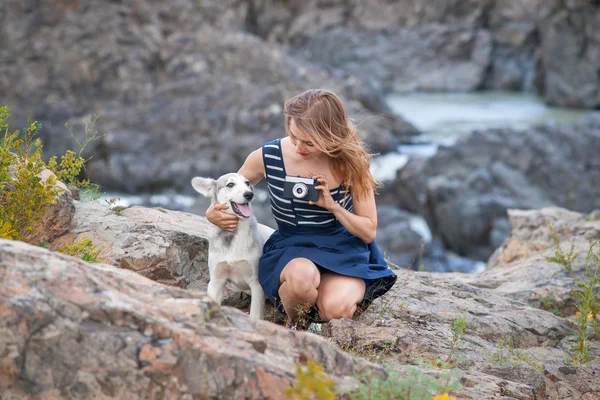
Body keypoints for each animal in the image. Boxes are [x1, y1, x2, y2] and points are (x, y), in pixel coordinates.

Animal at [192, 172, 270, 318]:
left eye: (247, 183)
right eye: (230, 184)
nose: (249, 194)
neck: (233, 235)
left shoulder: (256, 284)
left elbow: (255, 315)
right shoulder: (216, 282)